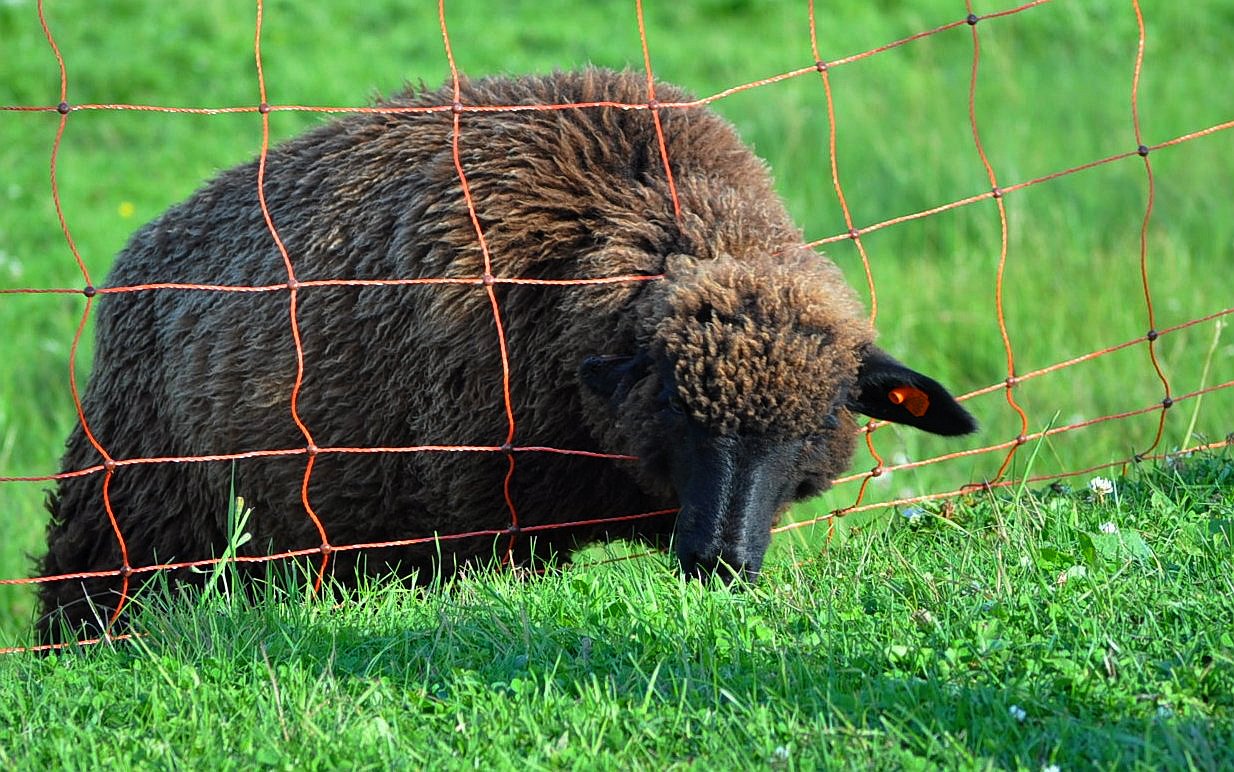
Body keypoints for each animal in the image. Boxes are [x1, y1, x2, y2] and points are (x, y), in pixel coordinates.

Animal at [36, 69, 972, 641]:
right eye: (671, 401)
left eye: (822, 418)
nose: (721, 563)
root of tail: (140, 254)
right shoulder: (487, 519)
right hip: (124, 515)